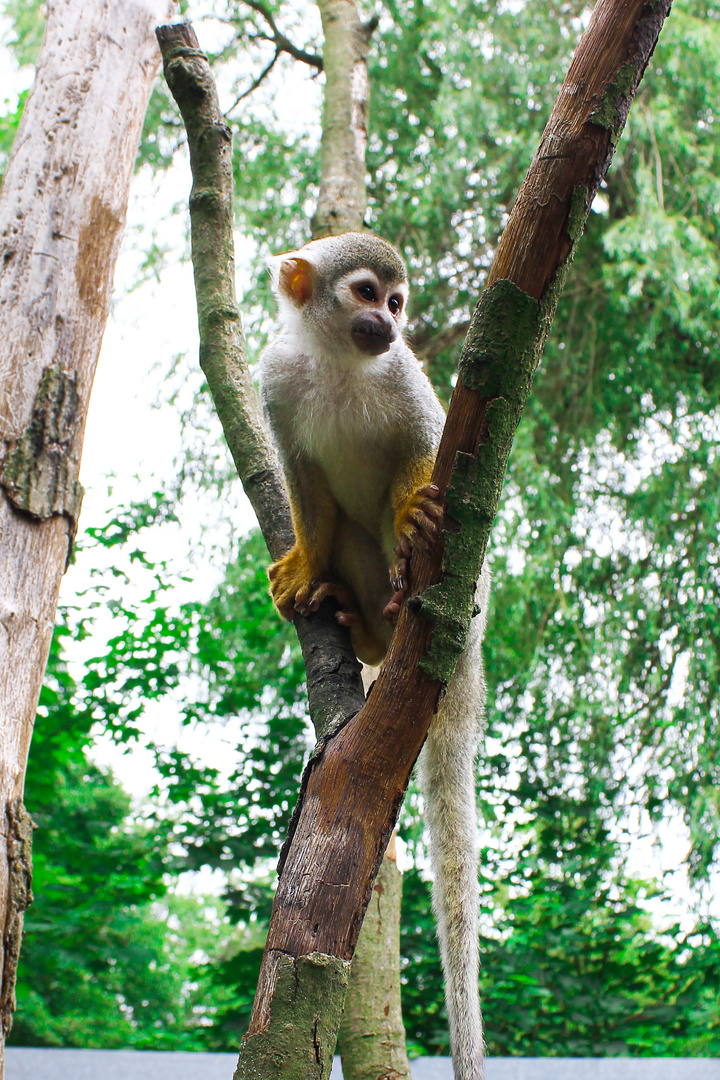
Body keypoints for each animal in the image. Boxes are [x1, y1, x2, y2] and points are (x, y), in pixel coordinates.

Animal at [259, 232, 490, 1075]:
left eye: (397, 303)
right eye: (366, 294)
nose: (387, 324)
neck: (338, 359)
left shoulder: (402, 375)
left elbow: (428, 445)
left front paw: (415, 508)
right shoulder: (276, 378)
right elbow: (307, 487)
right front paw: (303, 567)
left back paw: (400, 589)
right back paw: (356, 621)